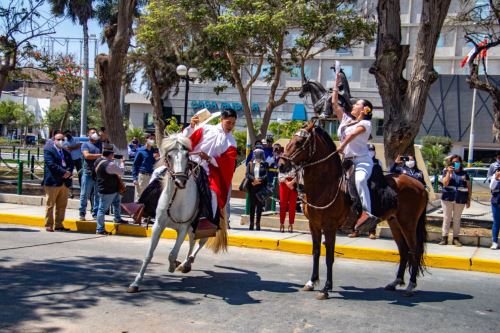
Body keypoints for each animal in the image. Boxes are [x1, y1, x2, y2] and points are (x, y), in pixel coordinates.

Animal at [126, 134, 228, 292]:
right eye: (169, 156)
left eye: (186, 154)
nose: (180, 181)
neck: (176, 198)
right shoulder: (158, 225)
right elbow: (149, 254)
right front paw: (136, 283)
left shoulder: (183, 228)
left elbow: (172, 254)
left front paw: (172, 266)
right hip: (192, 228)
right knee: (192, 241)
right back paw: (186, 263)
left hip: (204, 226)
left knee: (200, 242)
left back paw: (186, 263)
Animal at [280, 122, 428, 298]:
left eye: (299, 142)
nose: (281, 164)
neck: (327, 185)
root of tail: (420, 185)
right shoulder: (314, 225)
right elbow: (316, 252)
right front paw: (311, 282)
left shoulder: (329, 227)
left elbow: (329, 256)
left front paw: (326, 288)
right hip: (395, 223)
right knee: (404, 250)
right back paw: (395, 282)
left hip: (408, 223)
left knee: (414, 249)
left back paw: (411, 286)